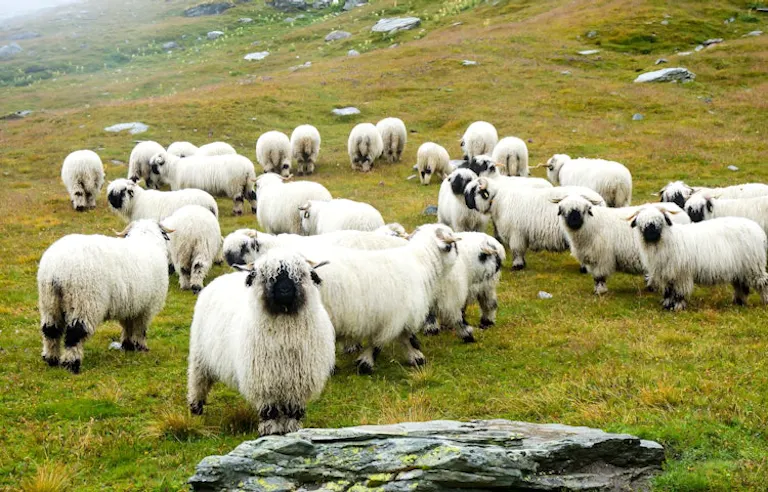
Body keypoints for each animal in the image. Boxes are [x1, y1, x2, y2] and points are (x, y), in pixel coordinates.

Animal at [37, 220, 171, 373]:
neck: (146, 240)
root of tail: (56, 269)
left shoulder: (130, 306)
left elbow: (128, 326)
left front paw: (128, 346)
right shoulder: (146, 308)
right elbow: (140, 329)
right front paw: (141, 347)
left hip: (49, 302)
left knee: (50, 330)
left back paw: (51, 359)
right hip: (84, 301)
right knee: (75, 333)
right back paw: (72, 364)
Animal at [186, 250, 335, 435]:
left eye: (300, 275)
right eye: (267, 276)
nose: (285, 290)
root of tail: (222, 278)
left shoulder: (297, 383)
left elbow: (293, 413)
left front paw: (291, 432)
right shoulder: (264, 381)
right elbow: (270, 412)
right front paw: (271, 433)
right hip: (199, 356)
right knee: (197, 381)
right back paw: (195, 409)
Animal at [464, 177, 606, 270]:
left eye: (474, 190)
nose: (466, 203)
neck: (499, 200)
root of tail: (600, 200)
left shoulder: (516, 234)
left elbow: (517, 250)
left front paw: (518, 266)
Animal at [554, 195, 690, 295]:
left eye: (584, 210)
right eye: (563, 211)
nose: (574, 222)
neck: (592, 225)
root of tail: (679, 210)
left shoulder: (601, 257)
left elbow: (599, 276)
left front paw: (600, 291)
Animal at [630, 207, 768, 310]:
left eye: (659, 222)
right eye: (641, 225)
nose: (651, 234)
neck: (669, 240)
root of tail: (758, 229)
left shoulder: (681, 275)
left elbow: (678, 292)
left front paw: (677, 307)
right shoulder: (667, 274)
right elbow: (668, 292)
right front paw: (667, 305)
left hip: (753, 265)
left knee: (763, 282)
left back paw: (764, 301)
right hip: (741, 268)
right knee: (741, 285)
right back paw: (738, 302)